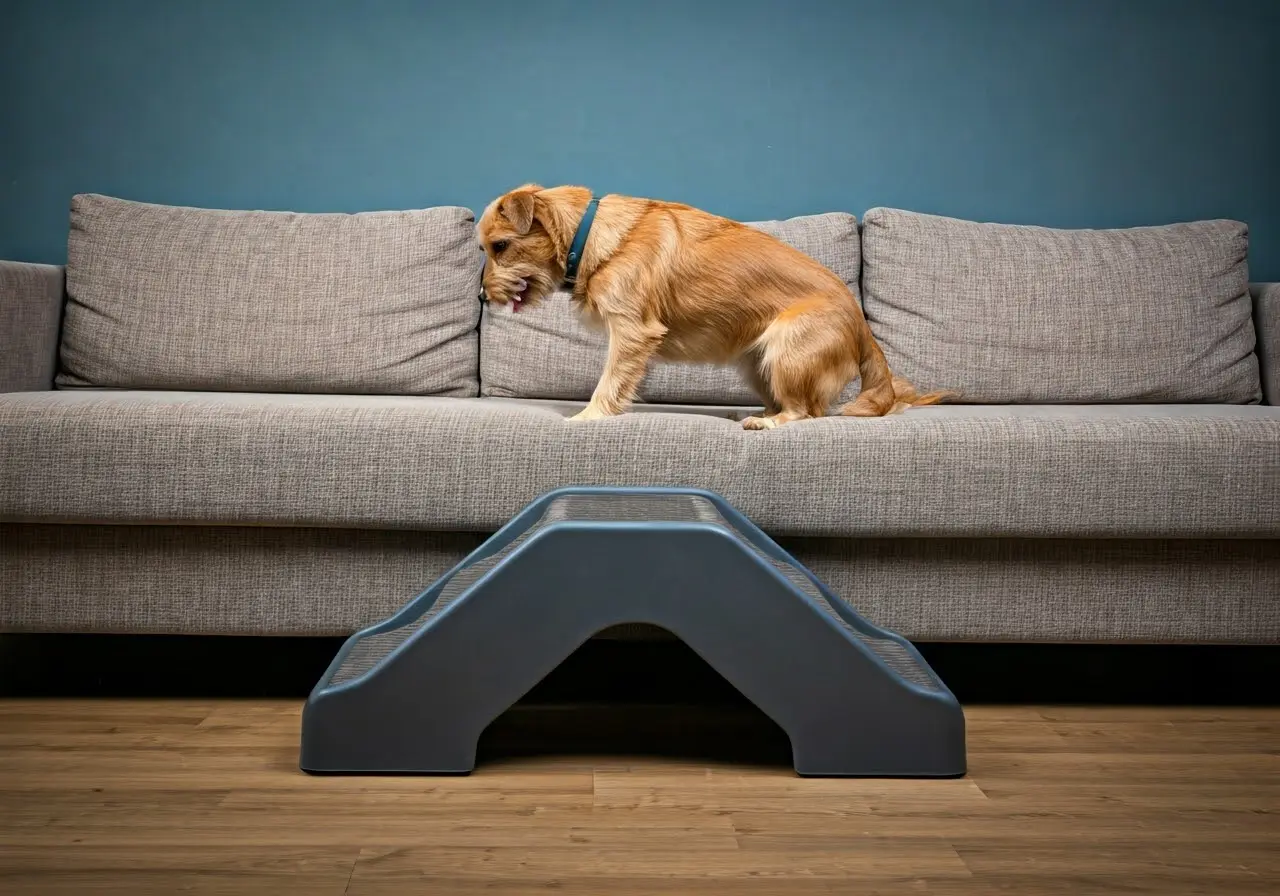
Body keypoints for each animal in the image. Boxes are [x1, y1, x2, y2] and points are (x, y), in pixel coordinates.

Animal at [476, 184, 947, 427]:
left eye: (500, 246)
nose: (481, 296)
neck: (586, 233)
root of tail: (863, 328)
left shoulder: (631, 332)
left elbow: (609, 382)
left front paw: (589, 416)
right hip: (756, 362)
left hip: (786, 348)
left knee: (807, 412)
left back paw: (768, 422)